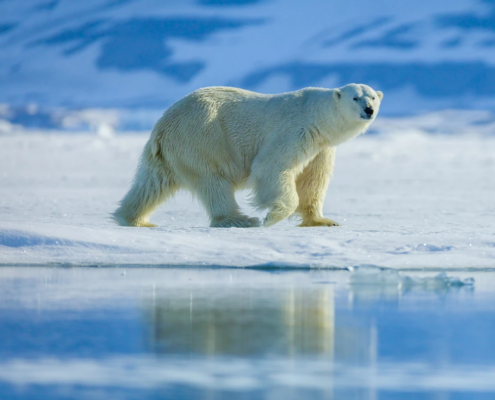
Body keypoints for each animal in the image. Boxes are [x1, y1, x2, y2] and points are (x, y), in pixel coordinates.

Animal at [112, 84, 384, 228]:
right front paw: (271, 217)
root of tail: (162, 124)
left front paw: (323, 221)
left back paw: (133, 218)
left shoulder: (321, 147)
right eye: (355, 97)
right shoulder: (295, 131)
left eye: (372, 96)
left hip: (170, 153)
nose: (369, 110)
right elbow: (271, 166)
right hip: (203, 138)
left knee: (151, 184)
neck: (317, 116)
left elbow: (313, 181)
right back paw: (240, 219)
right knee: (214, 180)